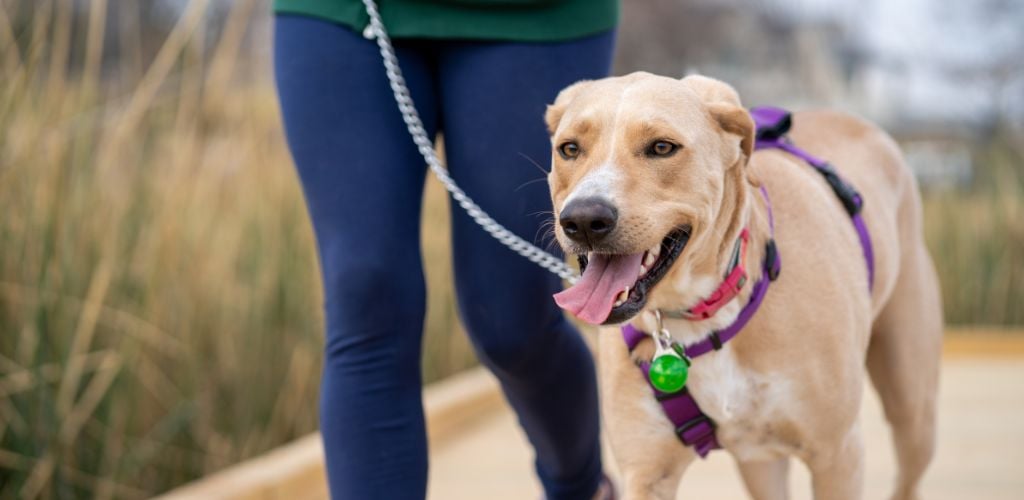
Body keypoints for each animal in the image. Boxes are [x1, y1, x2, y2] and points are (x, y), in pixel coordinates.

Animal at [548, 72, 937, 497]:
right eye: (569, 149)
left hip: (913, 409)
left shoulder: (838, 455)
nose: (584, 220)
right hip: (760, 461)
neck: (700, 315)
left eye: (662, 147)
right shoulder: (647, 474)